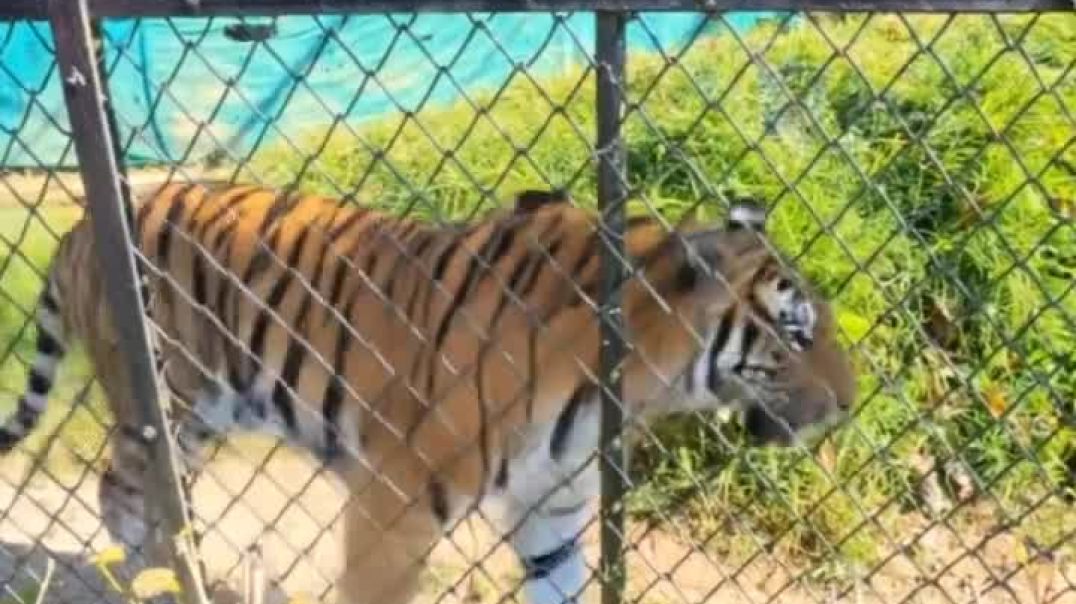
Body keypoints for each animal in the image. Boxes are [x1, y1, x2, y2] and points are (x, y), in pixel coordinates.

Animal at [0, 181, 855, 604]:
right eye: (798, 333)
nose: (851, 402)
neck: (631, 384)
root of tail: (79, 227)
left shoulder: (552, 507)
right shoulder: (395, 500)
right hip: (163, 405)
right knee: (122, 492)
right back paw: (145, 582)